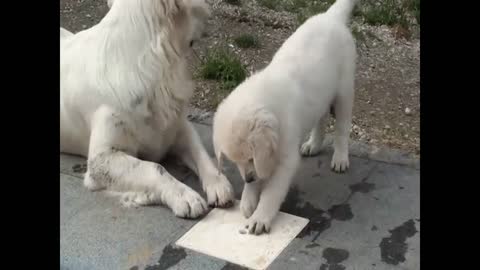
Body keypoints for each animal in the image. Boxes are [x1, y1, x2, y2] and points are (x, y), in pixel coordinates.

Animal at [60, 0, 234, 218]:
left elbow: (199, 152)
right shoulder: (101, 159)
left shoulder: (178, 127)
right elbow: (155, 167)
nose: (209, 20)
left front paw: (218, 183)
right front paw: (184, 196)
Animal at [213, 0, 356, 233]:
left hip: (344, 89)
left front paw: (260, 217)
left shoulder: (285, 159)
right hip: (322, 94)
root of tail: (331, 16)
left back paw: (340, 158)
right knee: (321, 117)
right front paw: (248, 199)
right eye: (237, 161)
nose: (249, 179)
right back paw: (313, 144)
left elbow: (272, 192)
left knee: (342, 127)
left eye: (250, 157)